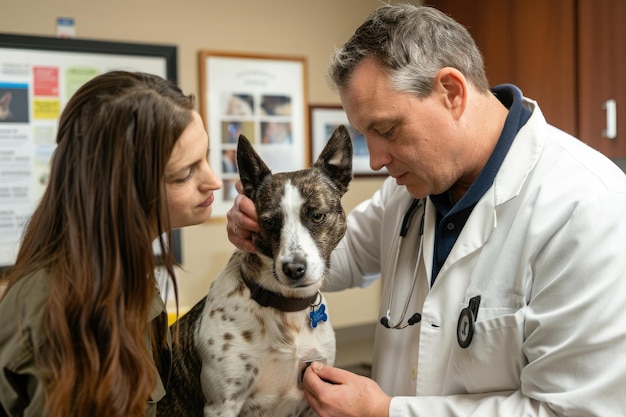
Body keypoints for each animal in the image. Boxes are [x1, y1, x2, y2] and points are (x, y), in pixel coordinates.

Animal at [158, 125, 354, 414]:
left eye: (317, 215)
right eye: (269, 222)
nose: (293, 269)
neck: (287, 309)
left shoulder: (313, 393)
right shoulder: (222, 404)